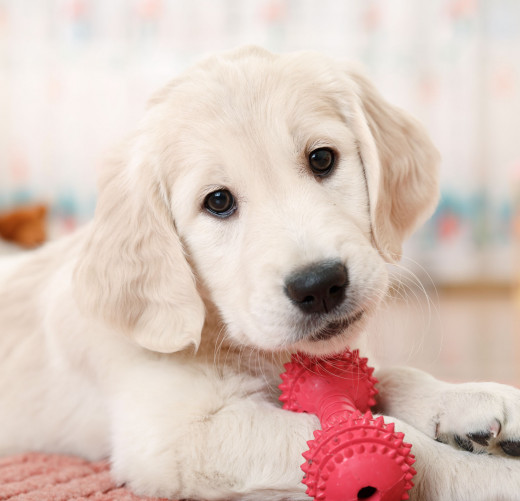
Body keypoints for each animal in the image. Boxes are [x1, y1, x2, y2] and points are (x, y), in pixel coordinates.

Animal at [1, 46, 520, 501]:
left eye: (322, 158)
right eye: (217, 201)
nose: (320, 285)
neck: (225, 334)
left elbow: (391, 376)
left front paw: (468, 398)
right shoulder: (175, 437)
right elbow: (397, 440)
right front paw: (492, 476)